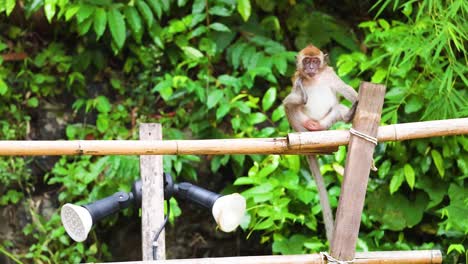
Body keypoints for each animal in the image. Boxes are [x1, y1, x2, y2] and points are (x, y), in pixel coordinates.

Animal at [282, 43, 358, 243]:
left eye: (315, 61)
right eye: (306, 61)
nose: (310, 68)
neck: (314, 78)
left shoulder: (330, 73)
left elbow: (349, 91)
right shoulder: (296, 77)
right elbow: (291, 92)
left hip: (326, 122)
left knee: (338, 109)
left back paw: (347, 116)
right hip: (298, 121)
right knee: (288, 104)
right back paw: (301, 105)